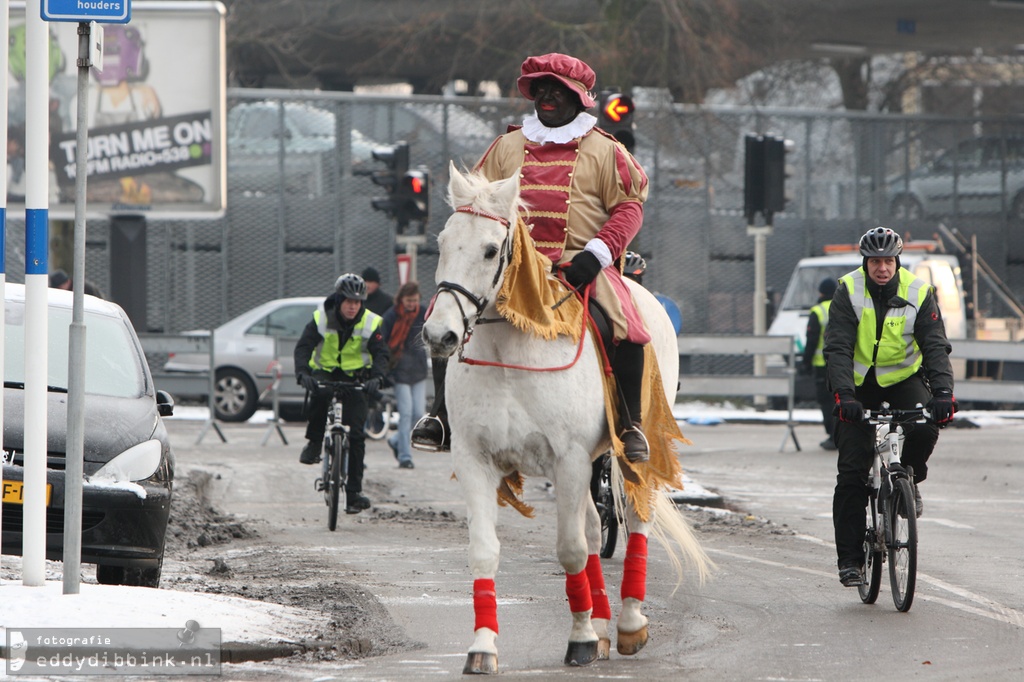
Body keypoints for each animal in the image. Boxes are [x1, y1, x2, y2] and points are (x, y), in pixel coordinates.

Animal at [423, 163, 712, 667]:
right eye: (442, 242)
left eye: (490, 249)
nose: (440, 335)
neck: (511, 352)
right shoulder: (475, 459)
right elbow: (485, 551)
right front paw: (483, 646)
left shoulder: (570, 459)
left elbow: (571, 549)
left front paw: (579, 638)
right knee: (597, 530)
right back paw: (600, 625)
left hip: (624, 454)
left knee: (635, 519)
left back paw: (629, 623)